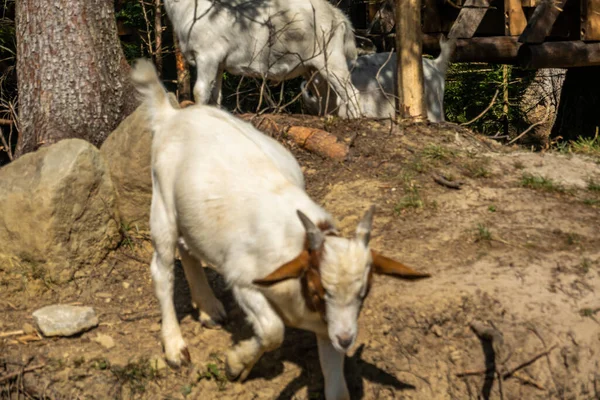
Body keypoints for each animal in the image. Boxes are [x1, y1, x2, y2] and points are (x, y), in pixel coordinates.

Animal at [132, 59, 432, 400]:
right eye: (319, 290)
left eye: (364, 292)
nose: (346, 339)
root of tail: (172, 115)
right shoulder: (244, 280)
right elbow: (273, 331)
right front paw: (236, 363)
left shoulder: (327, 324)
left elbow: (336, 388)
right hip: (162, 203)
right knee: (162, 270)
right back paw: (174, 347)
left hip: (191, 214)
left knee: (188, 248)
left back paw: (209, 308)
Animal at [163, 0, 360, 118]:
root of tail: (338, 14)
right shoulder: (218, 63)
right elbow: (215, 95)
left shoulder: (207, 55)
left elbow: (200, 91)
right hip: (312, 67)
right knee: (328, 94)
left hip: (331, 55)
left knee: (350, 90)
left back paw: (355, 117)